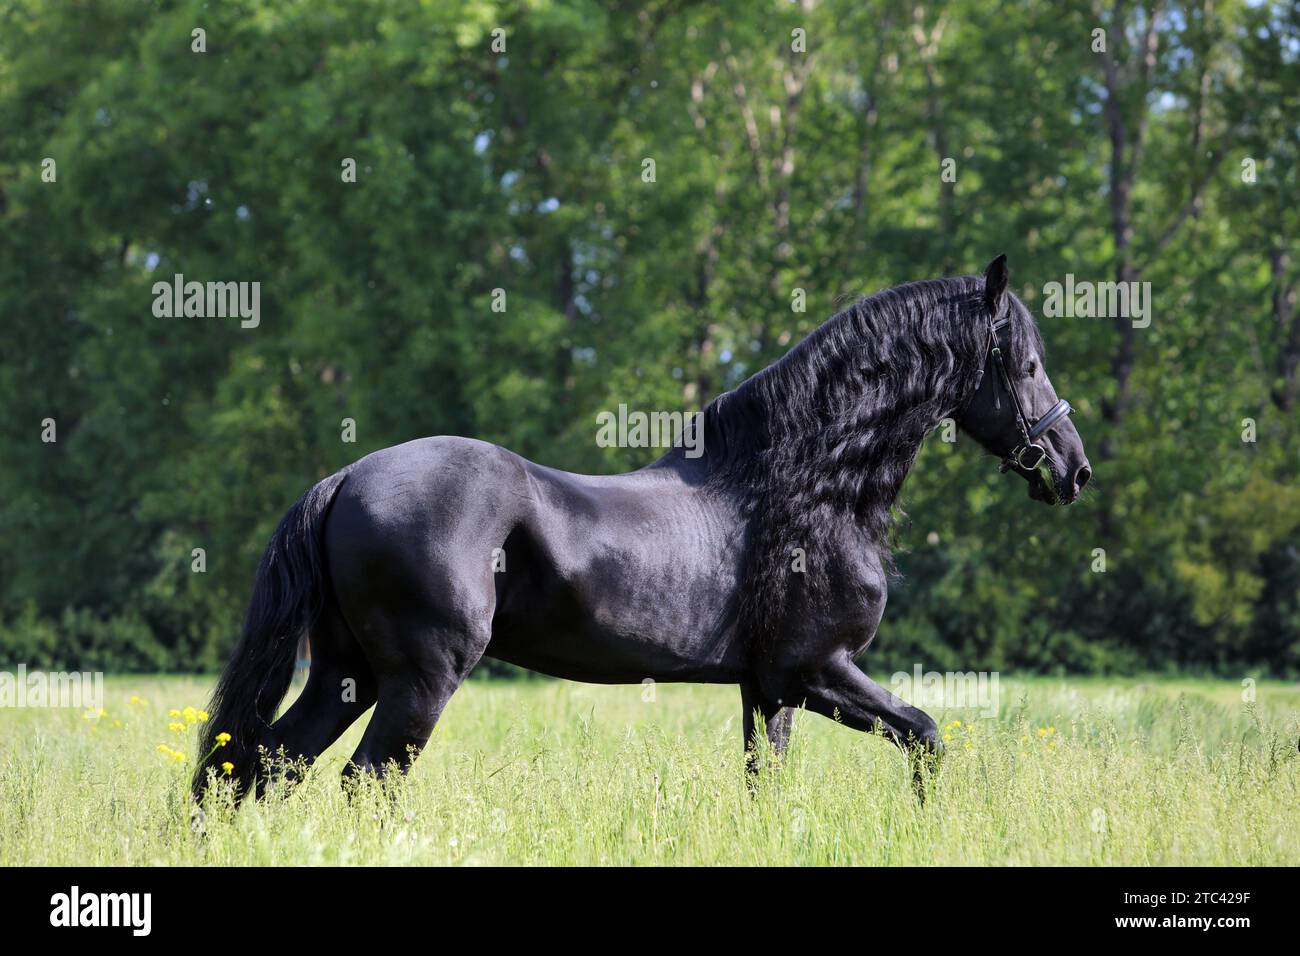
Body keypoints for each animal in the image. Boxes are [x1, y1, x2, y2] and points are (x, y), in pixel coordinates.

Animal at [192, 254, 1086, 801]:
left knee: (255, 768)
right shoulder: (817, 670)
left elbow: (767, 787)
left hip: (348, 677)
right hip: (418, 681)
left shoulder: (769, 689)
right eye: (1027, 364)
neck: (801, 489)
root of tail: (346, 478)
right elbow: (929, 737)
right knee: (359, 781)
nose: (1072, 469)